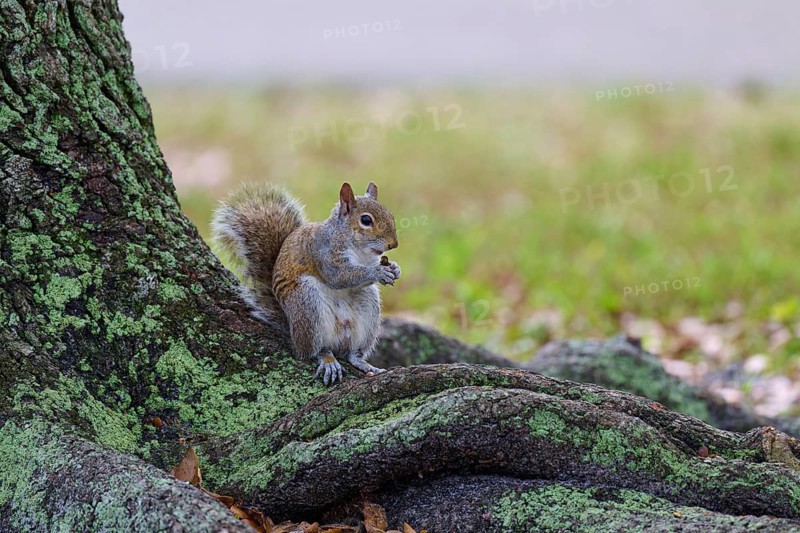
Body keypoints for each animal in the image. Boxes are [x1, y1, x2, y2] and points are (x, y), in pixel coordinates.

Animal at [211, 181, 400, 385]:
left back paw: (363, 363)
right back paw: (327, 360)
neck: (359, 249)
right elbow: (339, 277)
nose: (393, 244)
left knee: (351, 353)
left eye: (390, 214)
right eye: (366, 220)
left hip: (367, 309)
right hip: (306, 303)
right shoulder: (323, 252)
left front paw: (395, 268)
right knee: (312, 351)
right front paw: (378, 272)